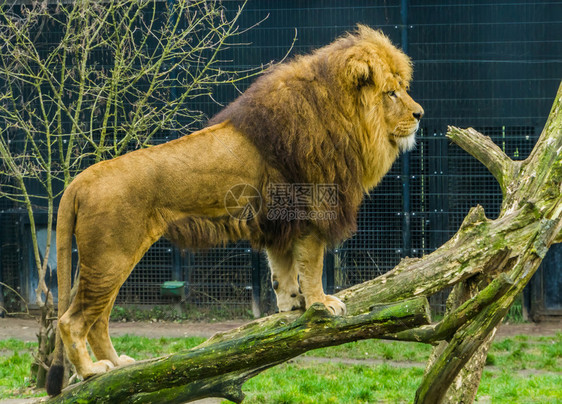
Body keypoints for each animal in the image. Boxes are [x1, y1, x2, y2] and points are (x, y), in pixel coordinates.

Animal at [47, 24, 420, 394]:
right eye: (391, 93)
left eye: (403, 89)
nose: (420, 114)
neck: (344, 117)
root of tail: (79, 180)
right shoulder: (310, 212)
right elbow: (312, 267)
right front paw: (320, 304)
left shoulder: (280, 220)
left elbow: (281, 268)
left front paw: (291, 303)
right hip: (110, 258)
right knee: (71, 321)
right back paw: (90, 372)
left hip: (108, 261)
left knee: (98, 319)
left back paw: (118, 365)